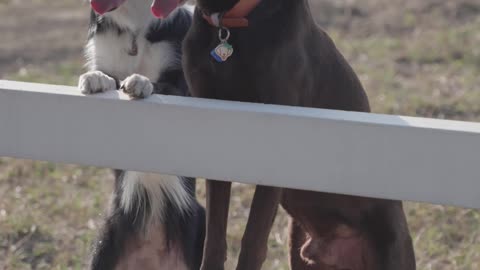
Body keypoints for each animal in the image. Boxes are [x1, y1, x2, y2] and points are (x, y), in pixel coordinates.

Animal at [154, 0, 416, 270]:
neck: (230, 25)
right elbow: (214, 241)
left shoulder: (277, 144)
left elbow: (253, 242)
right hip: (297, 241)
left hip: (389, 240)